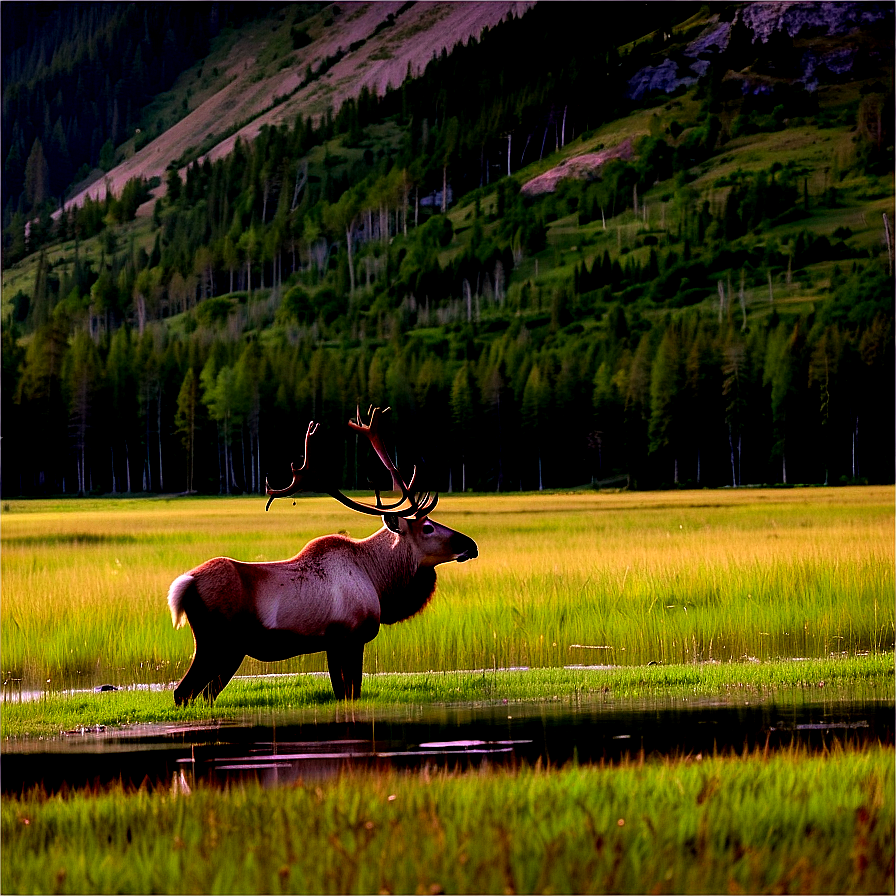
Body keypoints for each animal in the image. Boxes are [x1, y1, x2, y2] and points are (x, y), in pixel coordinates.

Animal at [166, 408, 476, 708]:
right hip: (218, 643)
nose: (471, 545)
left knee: (203, 695)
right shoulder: (351, 636)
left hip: (228, 649)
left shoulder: (332, 643)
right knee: (183, 692)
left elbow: (342, 692)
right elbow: (352, 692)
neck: (379, 580)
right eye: (428, 527)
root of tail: (186, 583)